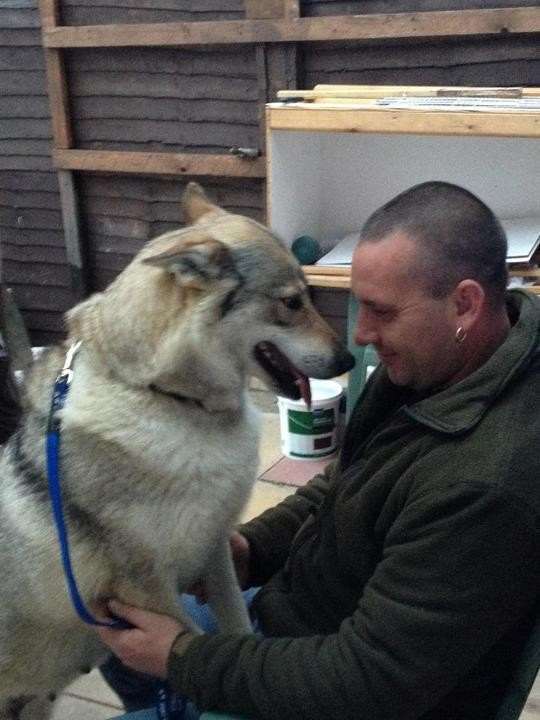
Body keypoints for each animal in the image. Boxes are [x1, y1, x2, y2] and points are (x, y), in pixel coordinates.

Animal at [0, 183, 354, 716]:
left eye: (308, 297)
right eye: (292, 303)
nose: (349, 359)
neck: (163, 394)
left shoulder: (213, 549)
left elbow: (236, 633)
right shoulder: (148, 592)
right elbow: (188, 647)